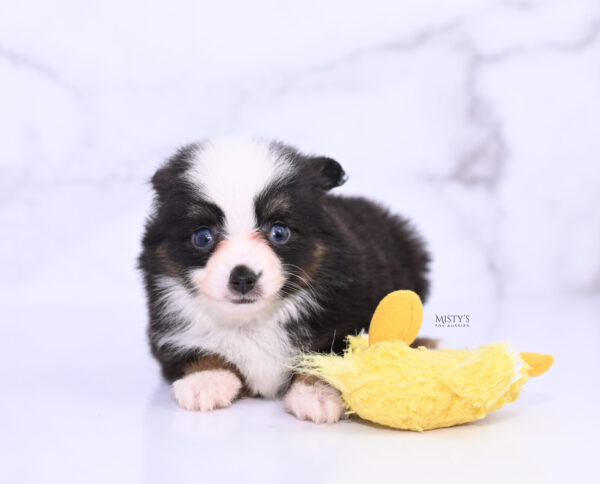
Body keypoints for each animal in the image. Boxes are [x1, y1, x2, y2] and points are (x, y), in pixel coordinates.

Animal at [139, 137, 432, 424]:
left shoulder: (346, 317)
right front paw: (206, 380)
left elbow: (328, 354)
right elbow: (198, 351)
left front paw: (316, 393)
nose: (242, 278)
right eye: (202, 237)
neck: (252, 321)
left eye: (279, 232)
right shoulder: (168, 330)